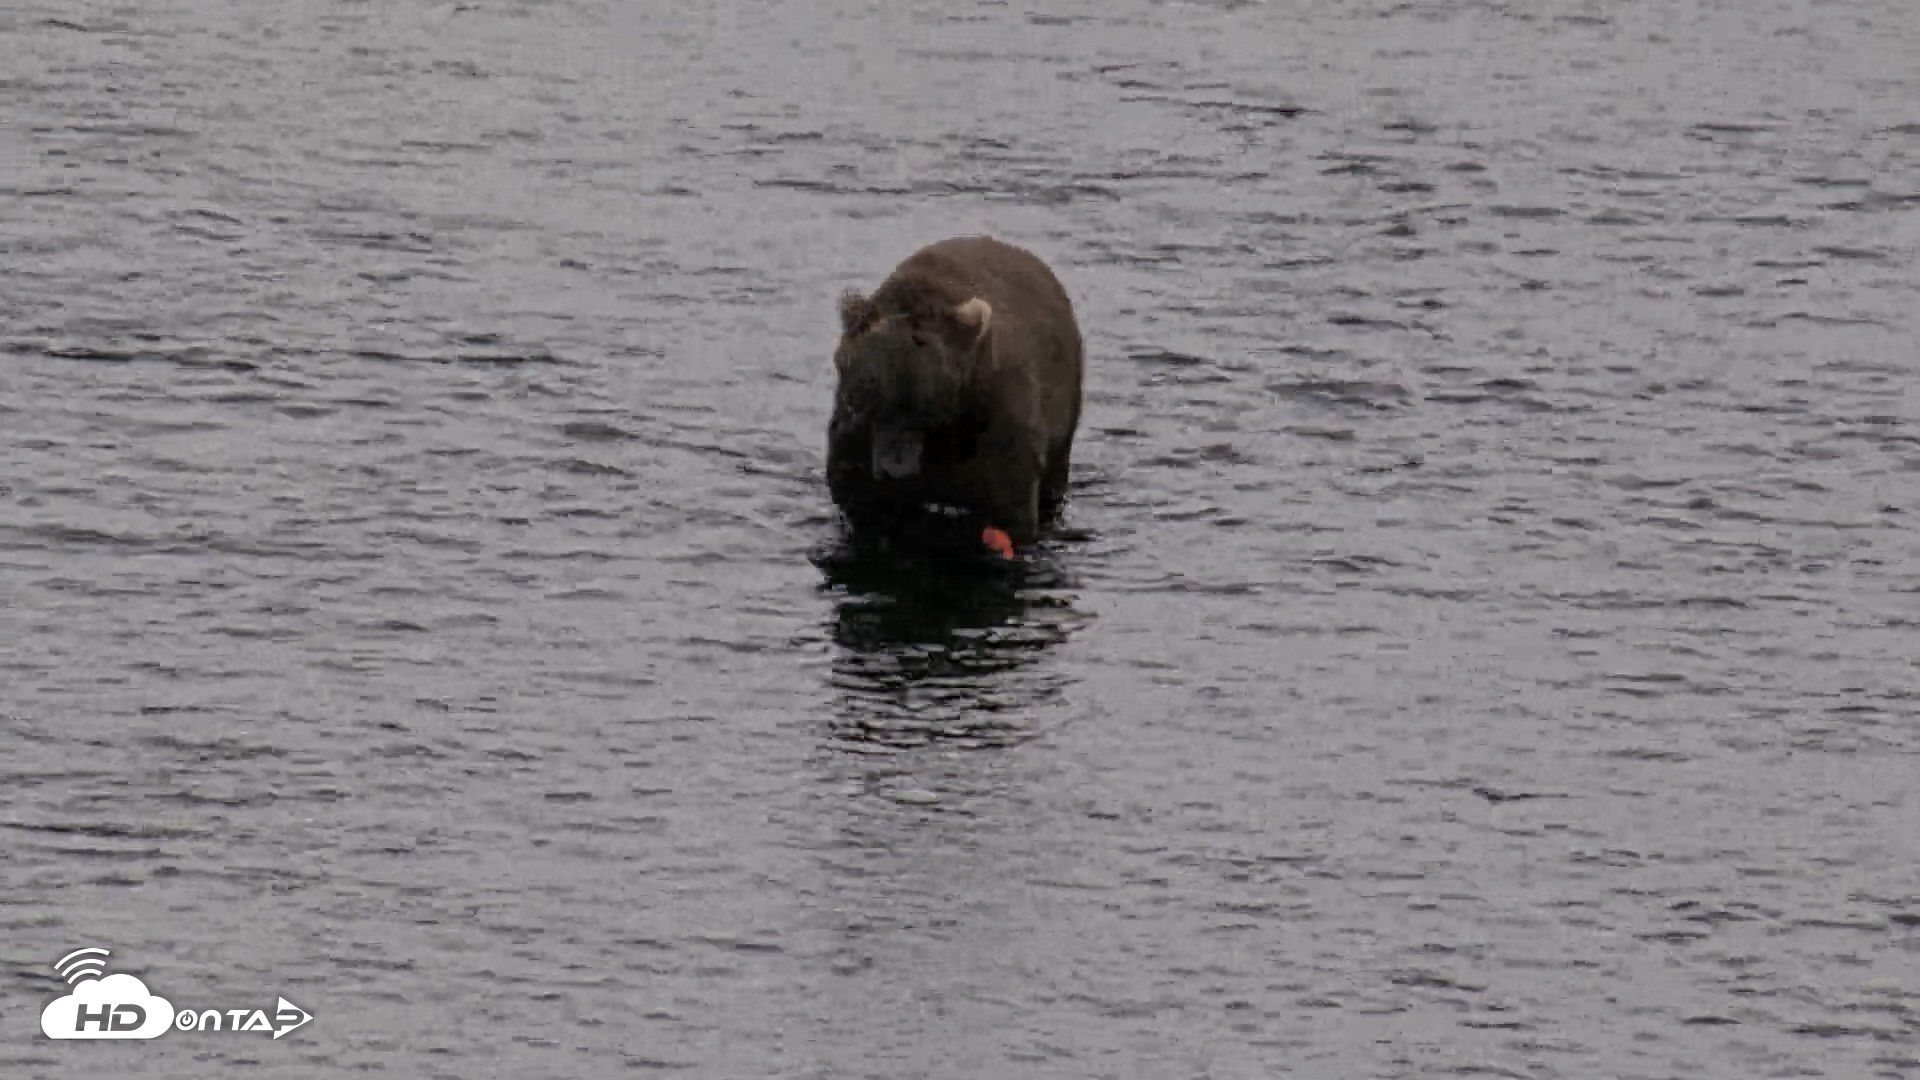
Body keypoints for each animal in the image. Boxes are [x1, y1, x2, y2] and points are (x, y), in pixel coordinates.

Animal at [826, 236, 1085, 558]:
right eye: (864, 396)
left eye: (930, 405)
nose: (896, 469)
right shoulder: (856, 443)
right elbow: (861, 499)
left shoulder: (993, 425)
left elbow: (1009, 507)